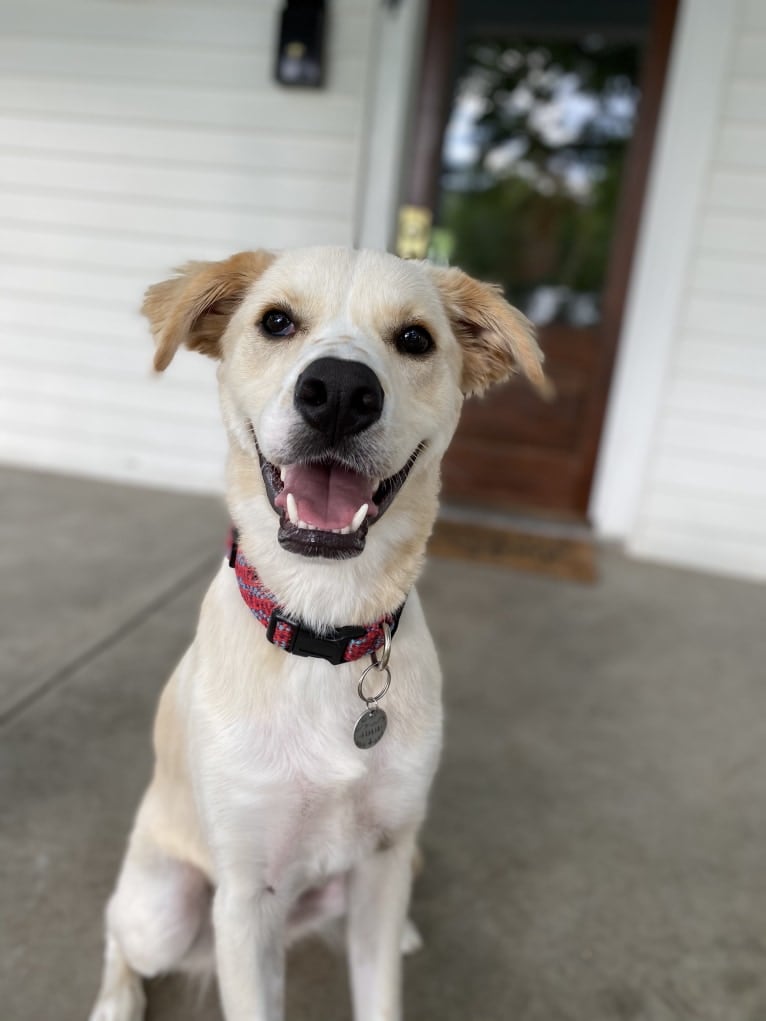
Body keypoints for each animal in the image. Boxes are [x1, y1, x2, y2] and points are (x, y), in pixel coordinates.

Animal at [89, 247, 547, 1021]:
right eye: (276, 322)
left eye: (415, 339)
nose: (338, 390)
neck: (325, 629)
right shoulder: (246, 900)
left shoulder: (383, 864)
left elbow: (381, 995)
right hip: (164, 907)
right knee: (119, 931)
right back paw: (116, 998)